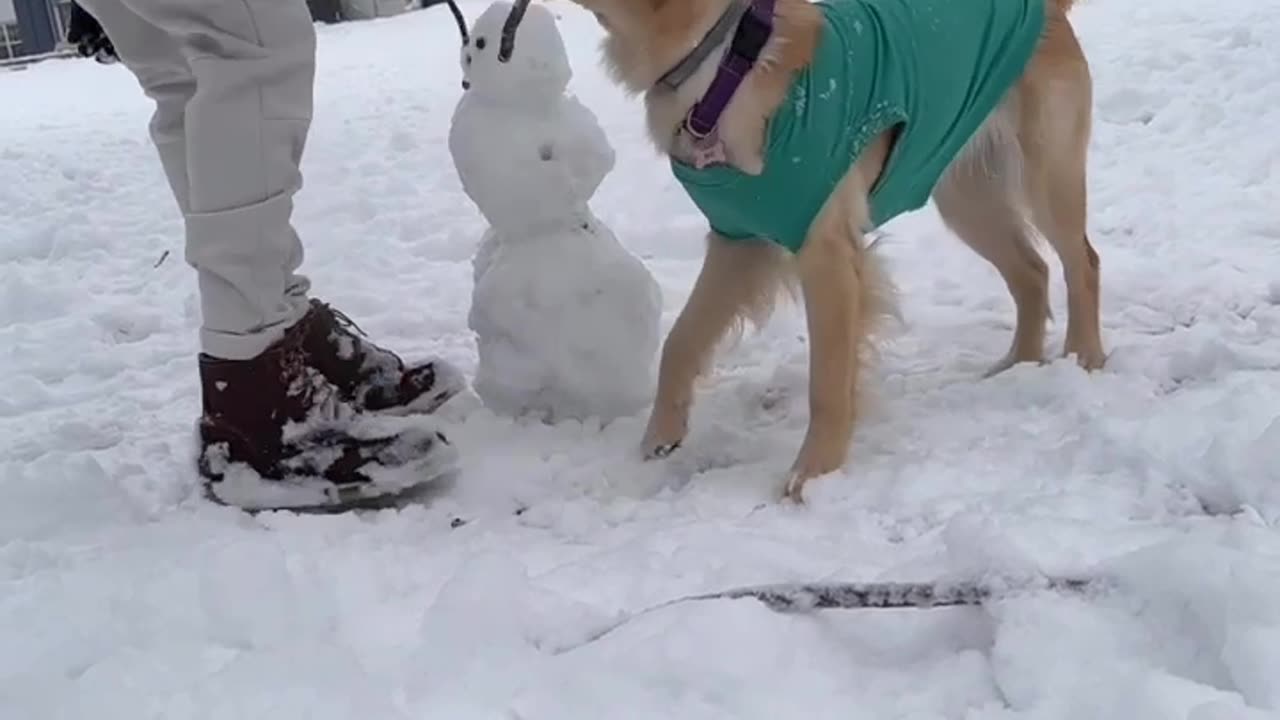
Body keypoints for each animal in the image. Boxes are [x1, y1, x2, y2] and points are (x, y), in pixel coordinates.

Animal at [535, 0, 1105, 499]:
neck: (724, 64)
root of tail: (1049, 8)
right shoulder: (736, 242)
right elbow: (681, 340)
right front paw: (660, 435)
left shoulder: (826, 252)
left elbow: (827, 382)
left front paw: (814, 475)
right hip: (965, 193)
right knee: (1031, 270)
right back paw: (1019, 365)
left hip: (1045, 173)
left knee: (1082, 262)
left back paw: (1083, 359)